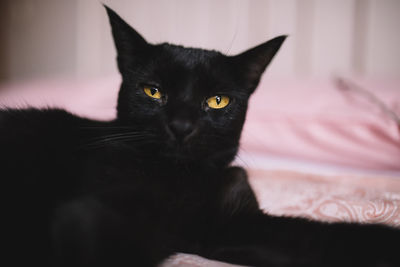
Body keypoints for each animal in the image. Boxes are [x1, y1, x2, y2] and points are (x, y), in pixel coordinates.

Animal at [1, 5, 398, 267]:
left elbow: (324, 238)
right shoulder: (94, 213)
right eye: (153, 92)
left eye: (217, 101)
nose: (181, 126)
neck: (183, 182)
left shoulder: (232, 227)